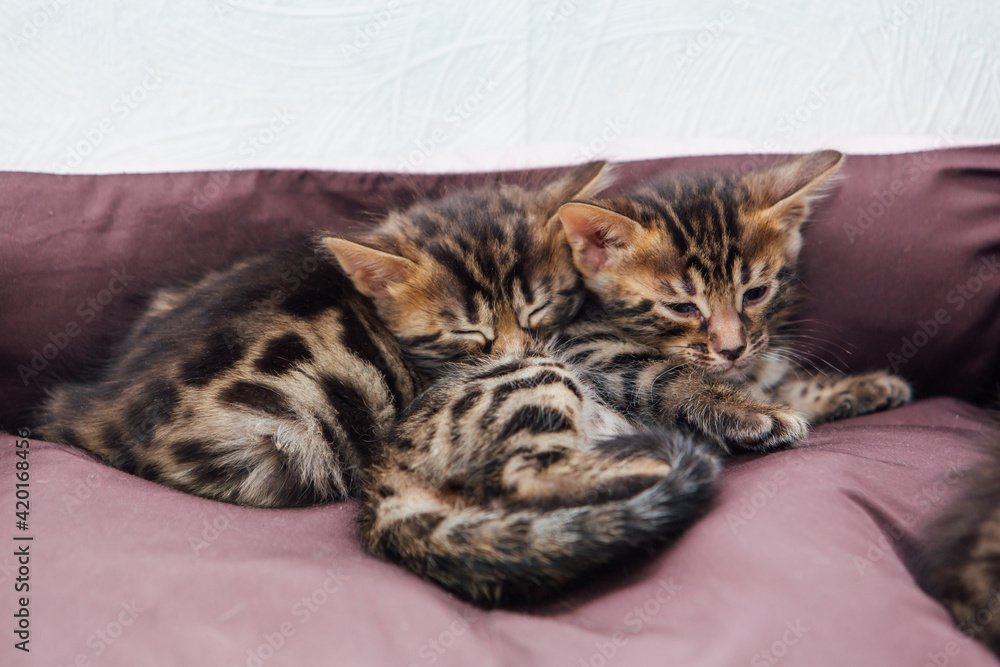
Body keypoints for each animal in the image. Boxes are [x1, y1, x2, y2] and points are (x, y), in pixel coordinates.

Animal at [556, 150, 916, 454]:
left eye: (755, 293)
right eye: (681, 308)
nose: (732, 350)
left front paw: (863, 386)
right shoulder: (583, 341)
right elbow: (662, 373)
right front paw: (755, 412)